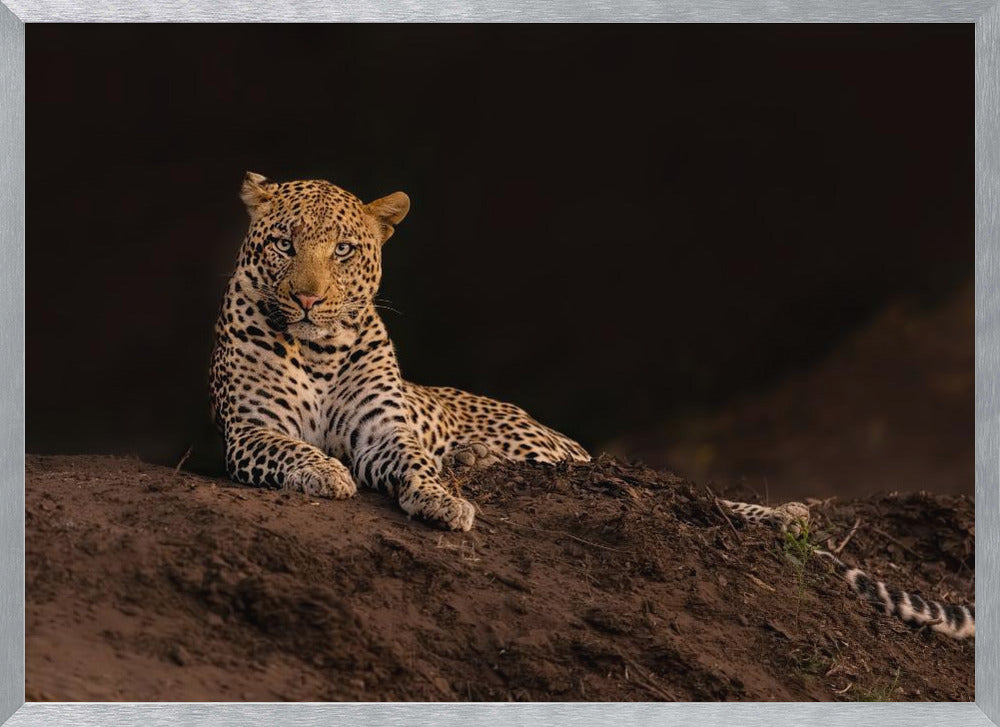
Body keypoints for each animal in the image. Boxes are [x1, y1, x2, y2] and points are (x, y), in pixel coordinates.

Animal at [209, 173, 589, 532]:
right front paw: (325, 471)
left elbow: (414, 461)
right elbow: (290, 448)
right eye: (284, 245)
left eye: (343, 249)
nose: (308, 299)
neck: (320, 352)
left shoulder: (382, 431)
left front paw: (442, 500)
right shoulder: (252, 429)